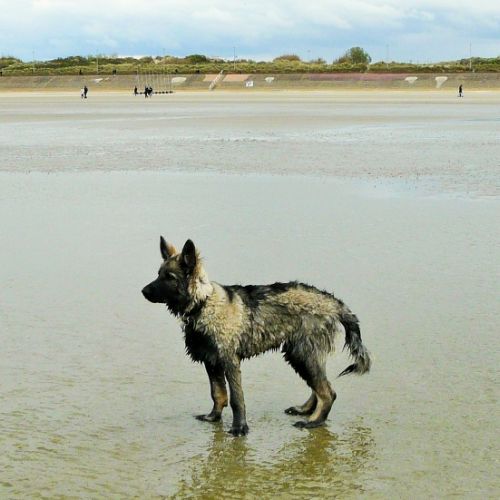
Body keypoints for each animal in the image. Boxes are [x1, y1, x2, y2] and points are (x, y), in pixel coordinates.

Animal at [142, 238, 371, 436]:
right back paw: (305, 410)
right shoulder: (211, 362)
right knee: (319, 386)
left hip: (303, 353)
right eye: (158, 274)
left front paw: (239, 428)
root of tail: (332, 302)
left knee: (327, 392)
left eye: (169, 277)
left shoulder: (229, 361)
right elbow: (218, 393)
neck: (203, 303)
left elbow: (236, 399)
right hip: (303, 354)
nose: (143, 291)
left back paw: (314, 421)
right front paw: (213, 417)